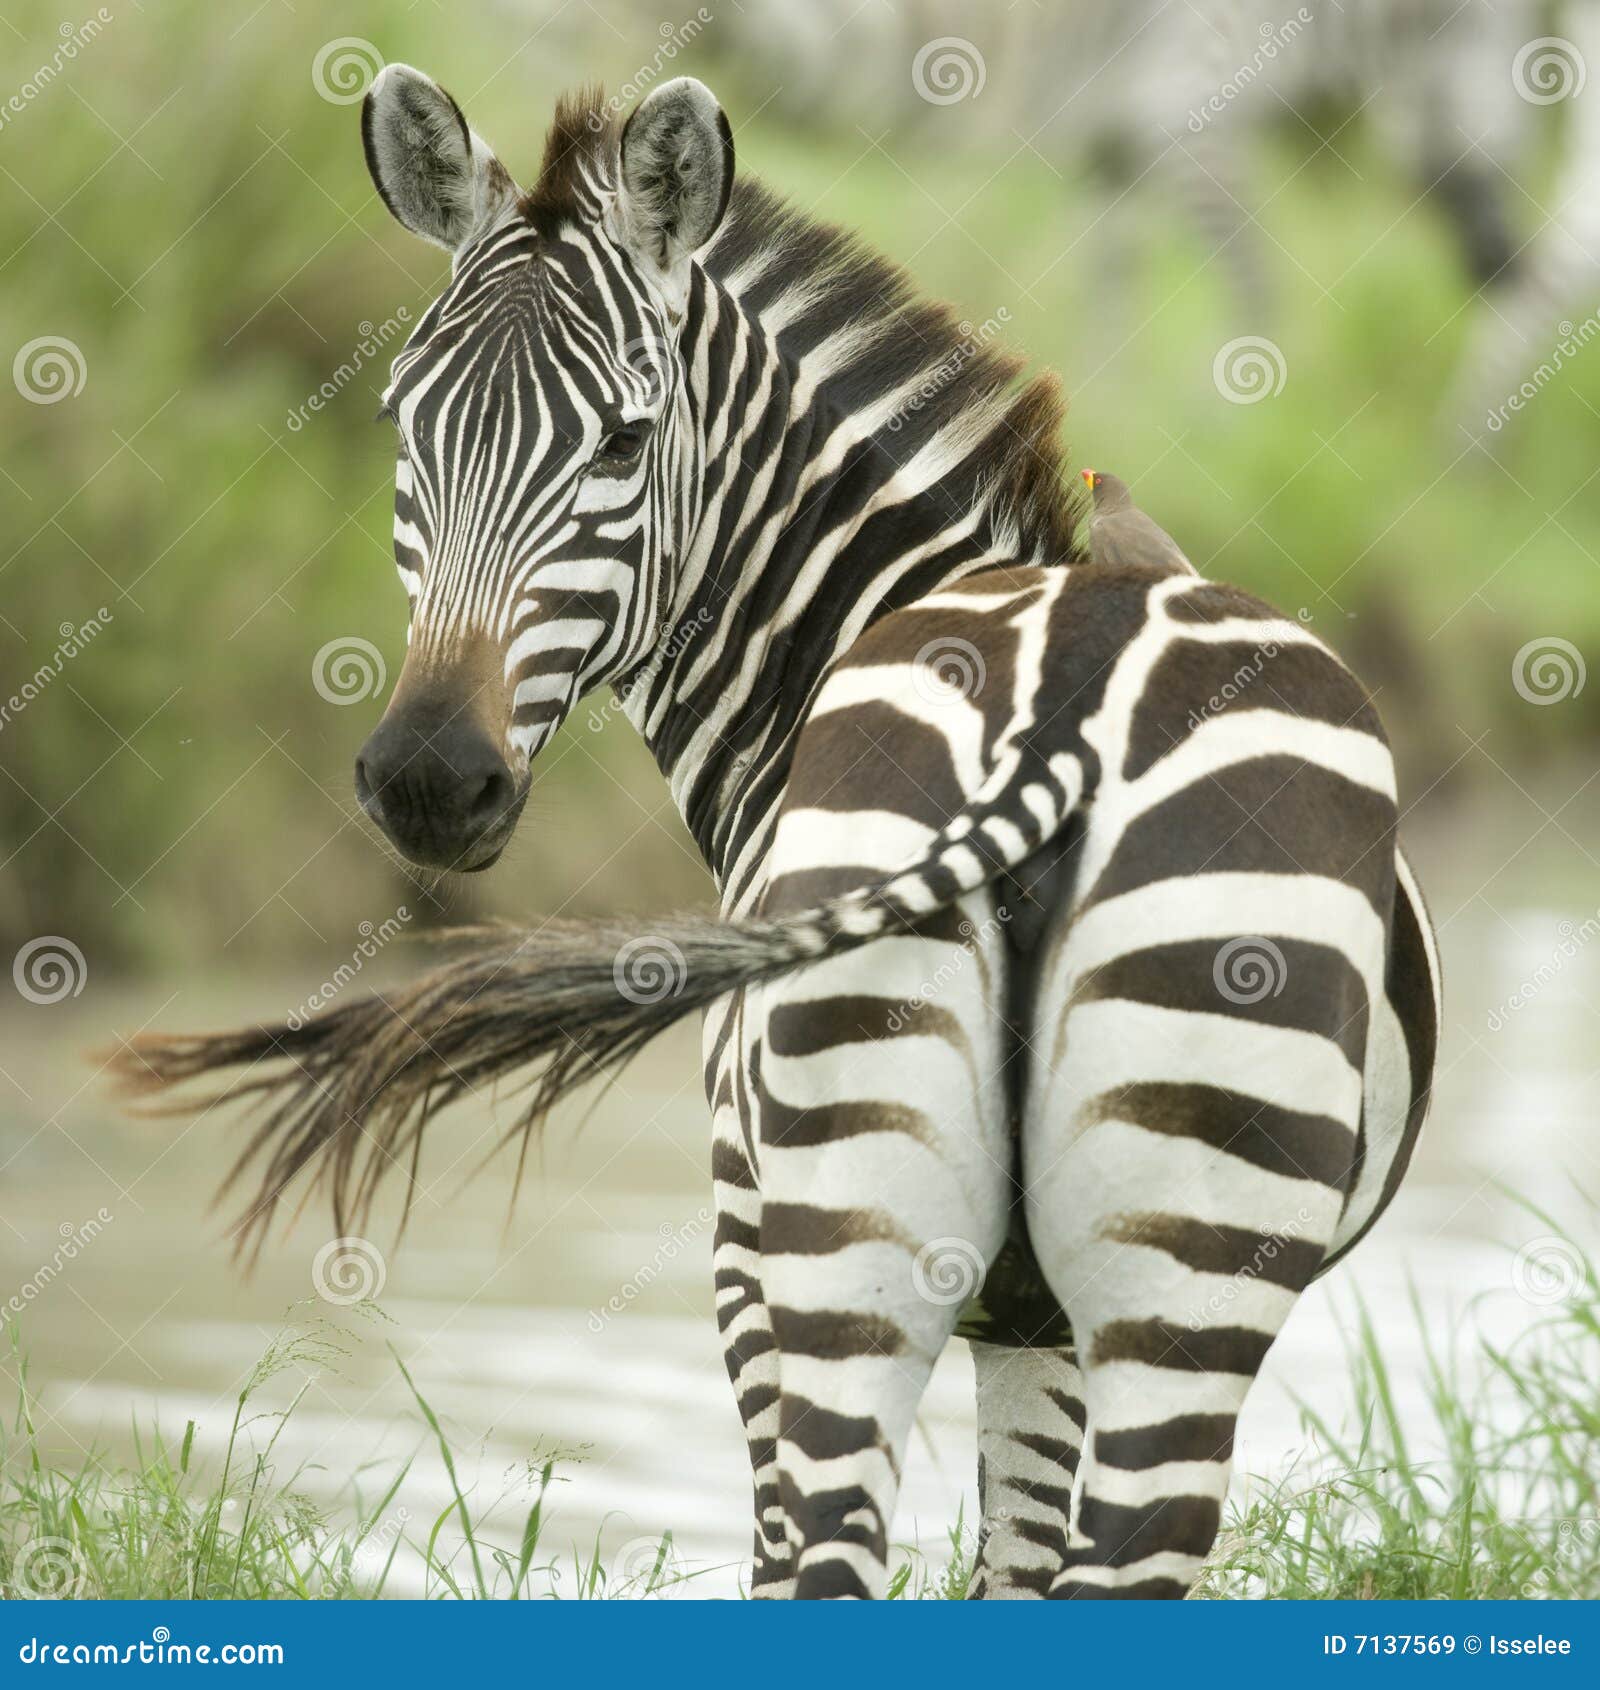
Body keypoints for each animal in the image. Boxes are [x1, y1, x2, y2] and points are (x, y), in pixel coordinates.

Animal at [118, 67, 1440, 1599]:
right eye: (403, 425)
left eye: (626, 440)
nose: (430, 780)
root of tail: (1053, 721)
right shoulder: (1032, 1321)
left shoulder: (777, 1256)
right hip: (1106, 1257)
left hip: (845, 1248)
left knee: (828, 1553)